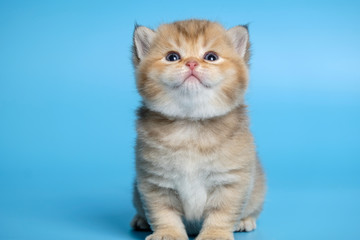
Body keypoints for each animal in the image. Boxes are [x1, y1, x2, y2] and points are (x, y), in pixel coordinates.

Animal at [131, 19, 266, 240]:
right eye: (172, 57)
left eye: (211, 57)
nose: (192, 63)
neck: (191, 124)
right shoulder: (155, 182)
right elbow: (163, 212)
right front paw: (168, 233)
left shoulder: (231, 181)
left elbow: (222, 212)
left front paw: (215, 234)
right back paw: (140, 220)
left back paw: (245, 220)